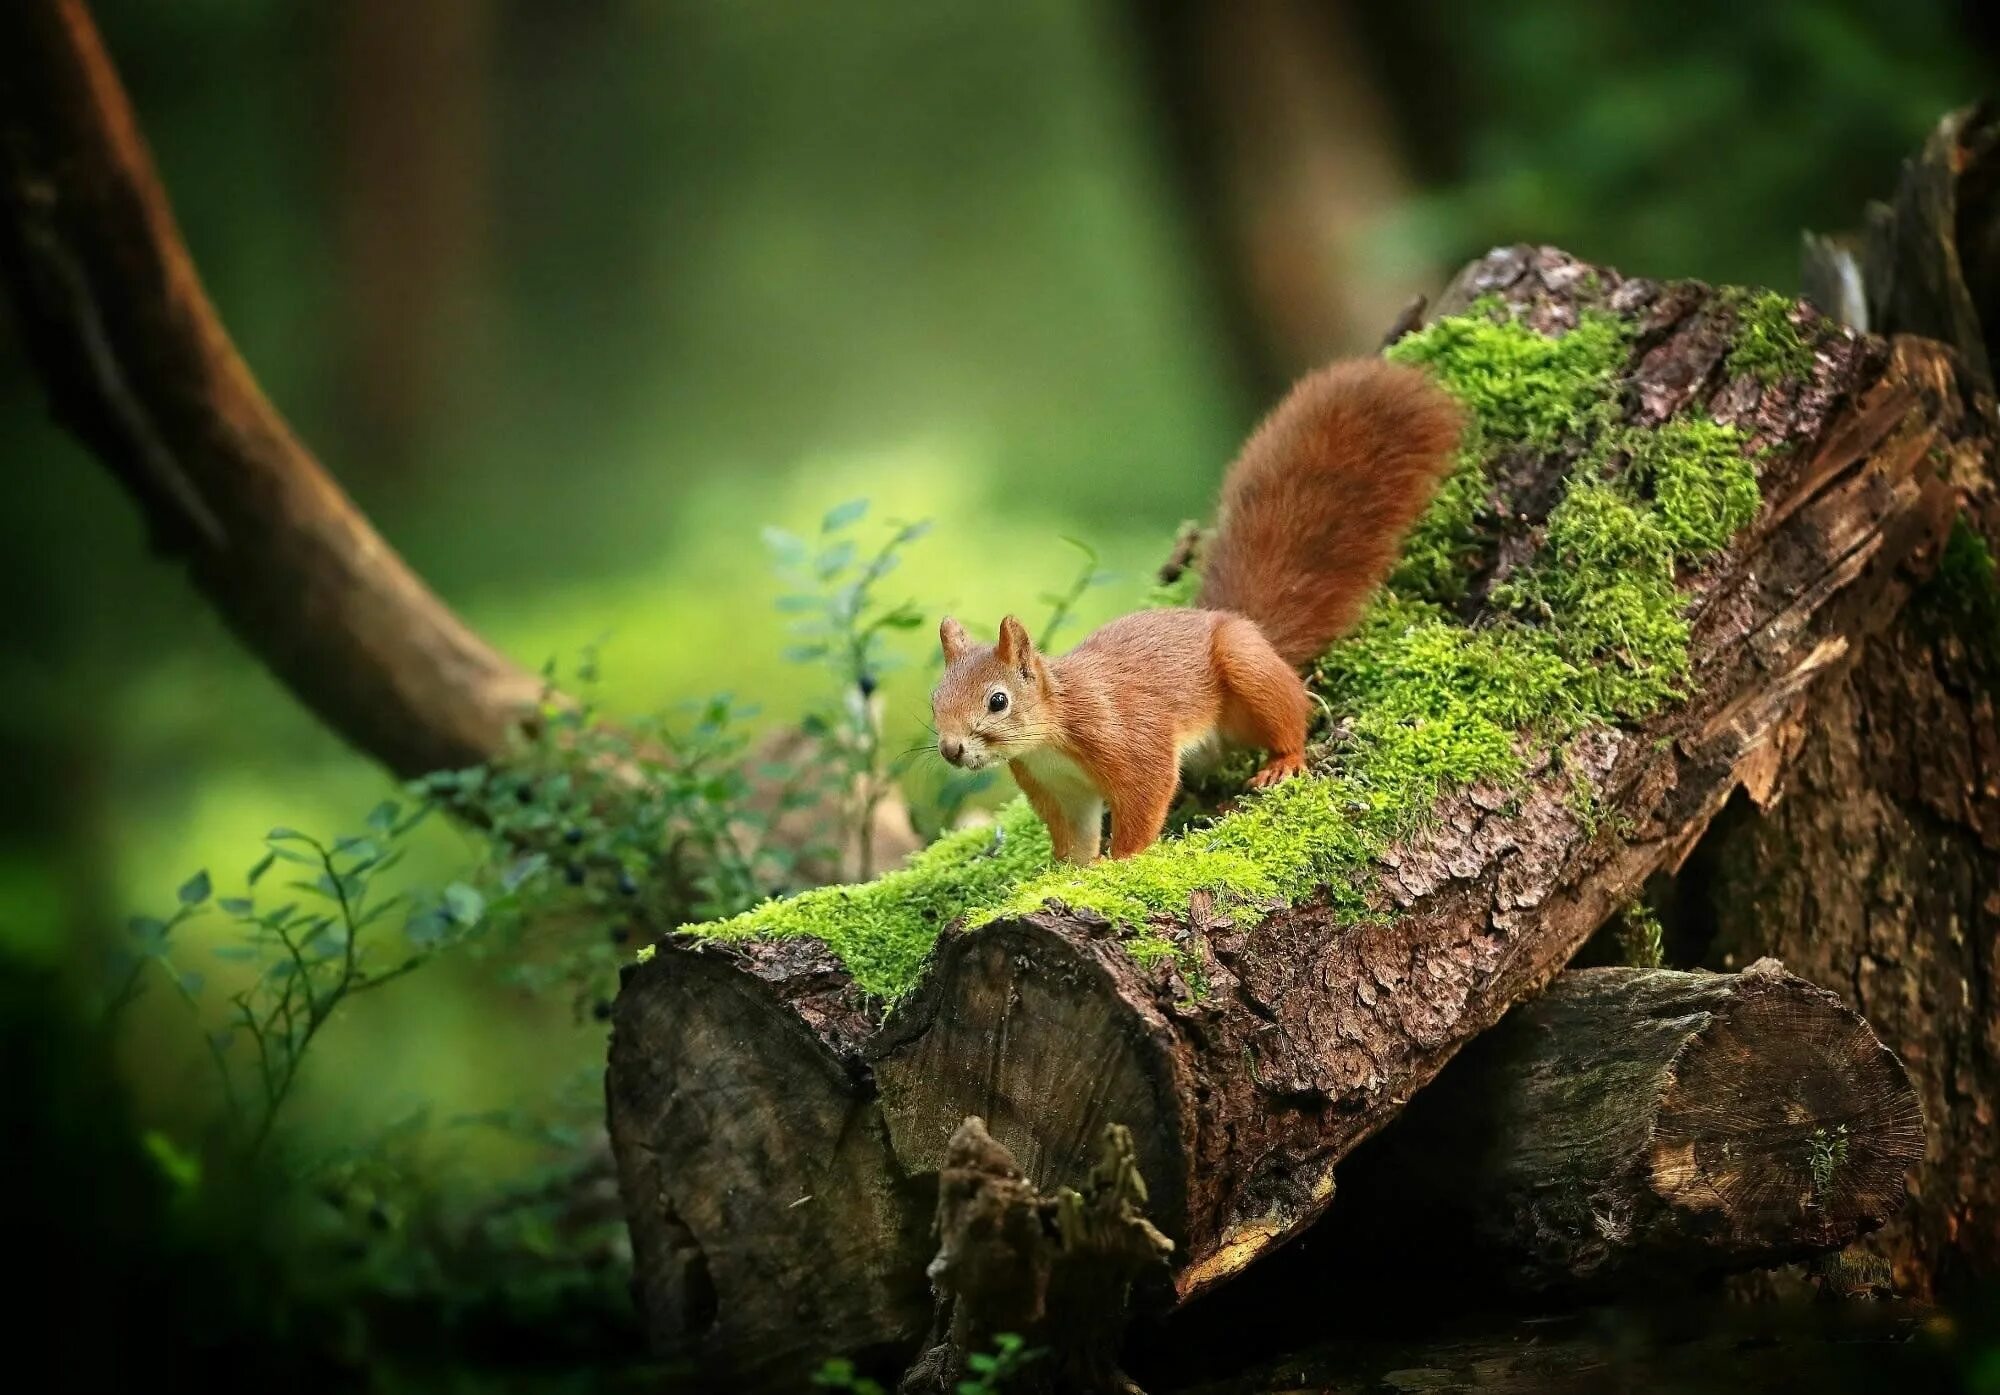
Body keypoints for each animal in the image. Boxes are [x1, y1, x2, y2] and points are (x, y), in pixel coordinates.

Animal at [928, 357, 1464, 859]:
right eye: (934, 700)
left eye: (998, 701)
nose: (951, 749)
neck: (1051, 734)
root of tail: (1238, 622)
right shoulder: (1059, 788)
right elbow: (1074, 838)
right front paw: (1070, 873)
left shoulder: (1127, 739)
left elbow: (1146, 796)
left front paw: (1122, 861)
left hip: (1246, 667)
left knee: (1294, 711)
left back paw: (1284, 761)